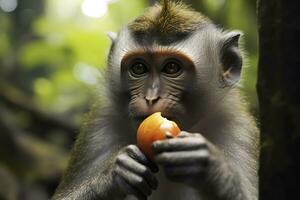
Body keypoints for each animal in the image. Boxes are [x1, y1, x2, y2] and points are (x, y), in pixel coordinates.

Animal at [51, 0, 258, 199]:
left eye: (172, 67)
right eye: (139, 68)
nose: (151, 97)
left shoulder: (238, 130)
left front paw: (212, 169)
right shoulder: (99, 124)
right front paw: (115, 173)